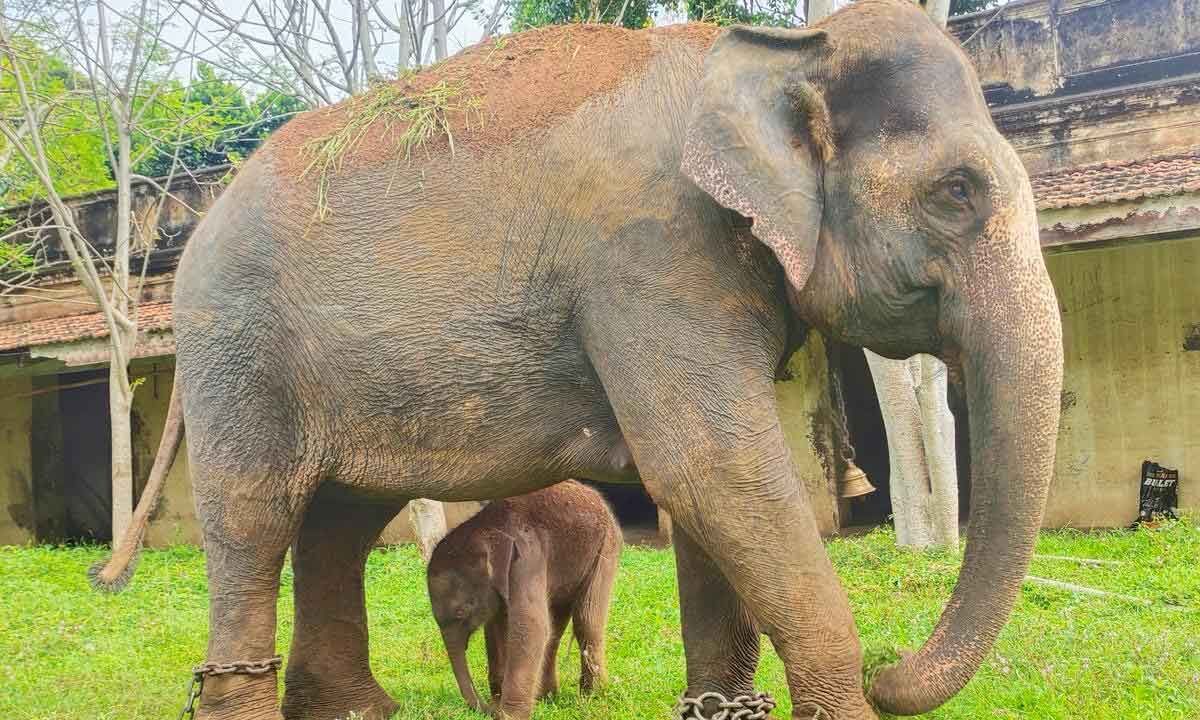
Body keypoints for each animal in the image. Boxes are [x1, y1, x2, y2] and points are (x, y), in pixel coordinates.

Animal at [427, 477, 624, 720]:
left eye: (462, 611)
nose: (488, 709)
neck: (486, 527)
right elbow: (496, 627)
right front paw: (500, 704)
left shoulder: (527, 560)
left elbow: (529, 628)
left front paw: (507, 715)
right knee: (555, 626)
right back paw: (547, 697)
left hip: (606, 547)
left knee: (587, 620)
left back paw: (592, 698)